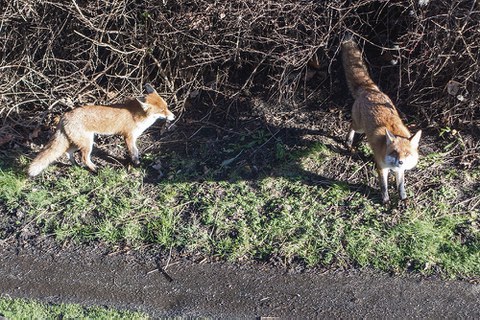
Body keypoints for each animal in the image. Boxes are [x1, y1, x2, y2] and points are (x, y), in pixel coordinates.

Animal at [28, 84, 174, 176]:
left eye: (167, 107)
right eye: (162, 111)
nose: (173, 116)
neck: (138, 116)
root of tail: (64, 116)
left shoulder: (133, 137)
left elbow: (136, 151)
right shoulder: (128, 137)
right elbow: (134, 152)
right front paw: (136, 163)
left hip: (79, 142)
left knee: (68, 153)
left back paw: (75, 165)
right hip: (87, 143)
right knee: (84, 158)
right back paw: (94, 169)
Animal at [342, 37, 420, 202]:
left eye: (406, 154)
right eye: (395, 152)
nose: (401, 161)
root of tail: (371, 90)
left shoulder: (399, 170)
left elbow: (400, 185)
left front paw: (403, 198)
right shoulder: (381, 167)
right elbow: (384, 186)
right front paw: (385, 200)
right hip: (359, 126)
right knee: (351, 125)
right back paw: (349, 142)